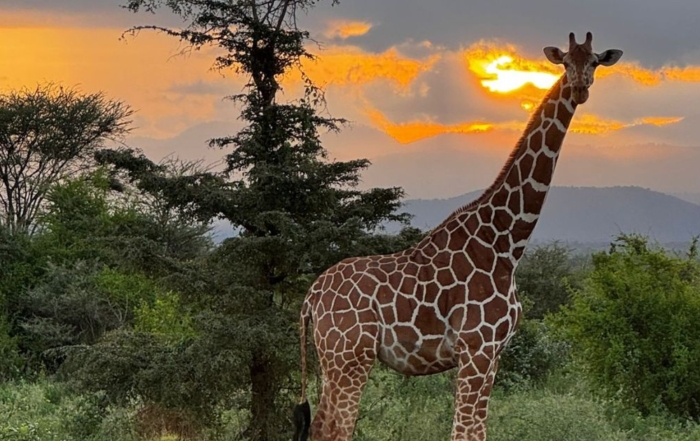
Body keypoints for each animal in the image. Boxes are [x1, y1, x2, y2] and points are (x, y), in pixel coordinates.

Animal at [293, 32, 622, 441]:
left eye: (593, 62)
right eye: (565, 62)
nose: (579, 88)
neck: (506, 244)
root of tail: (309, 299)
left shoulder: (493, 354)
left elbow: (474, 430)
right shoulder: (476, 348)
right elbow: (465, 431)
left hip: (332, 359)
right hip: (350, 356)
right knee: (334, 429)